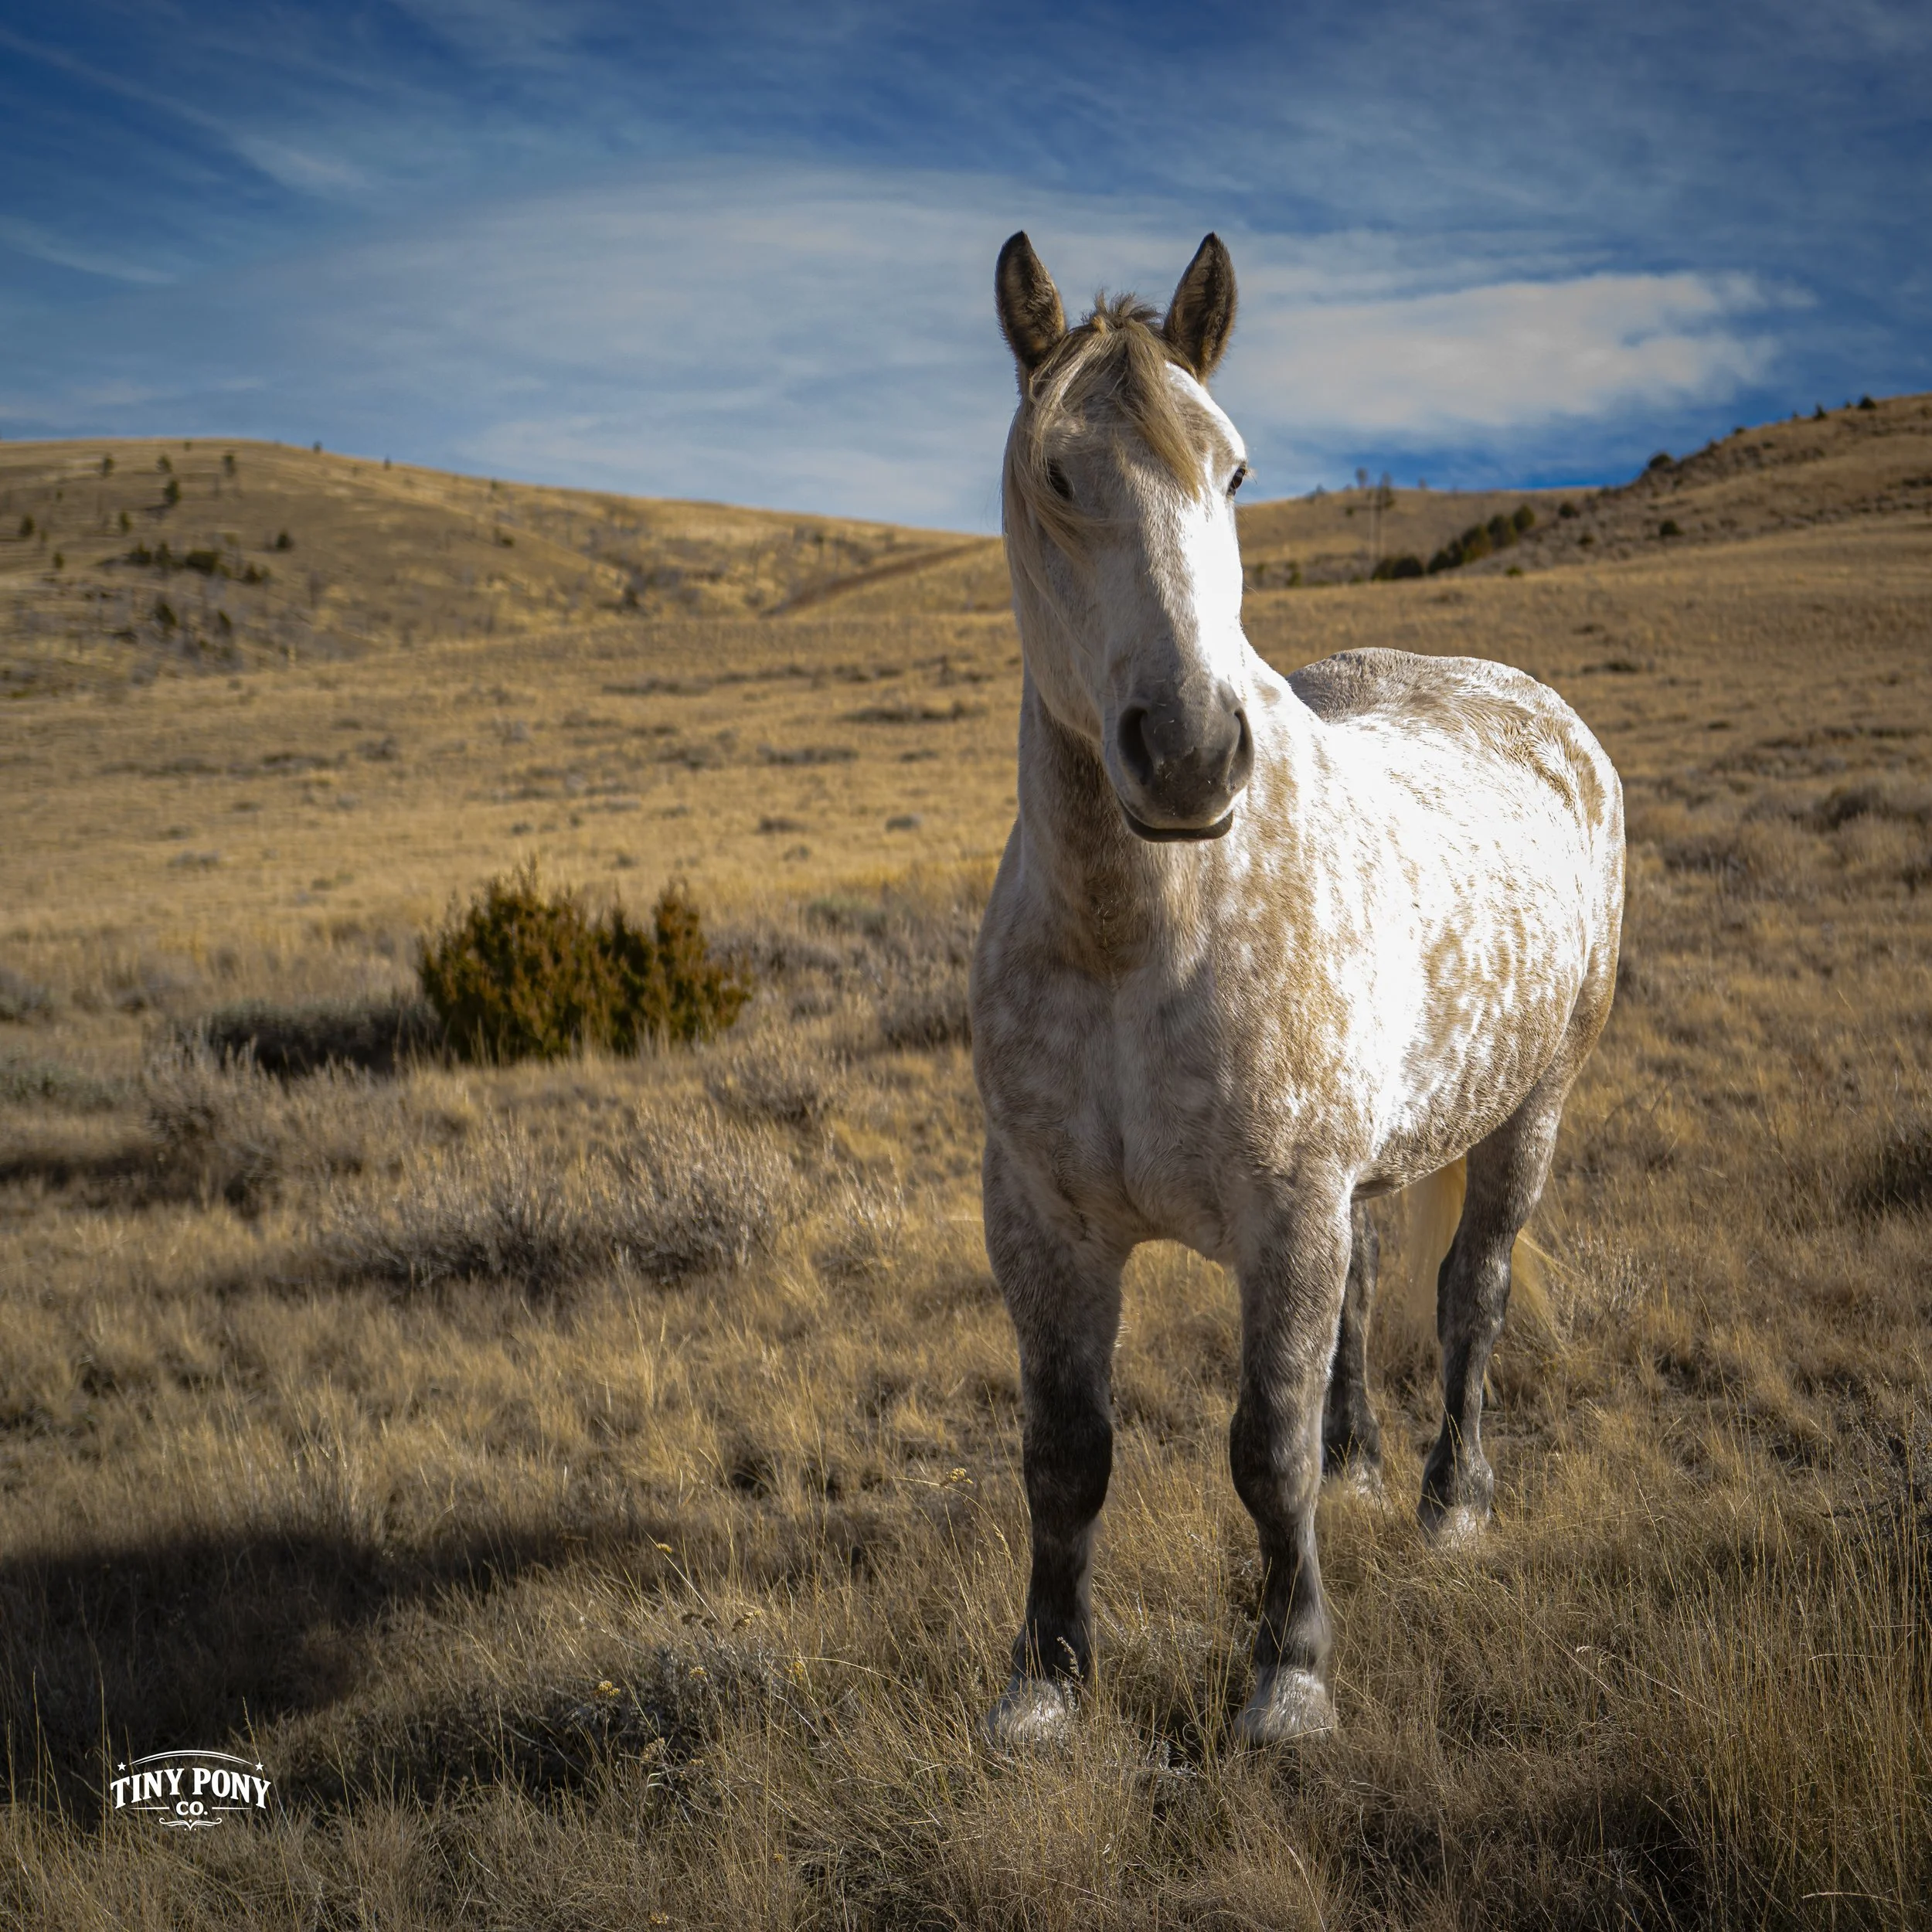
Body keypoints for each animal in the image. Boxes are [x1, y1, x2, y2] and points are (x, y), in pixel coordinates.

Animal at [969, 231, 1625, 1745]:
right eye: (1056, 476)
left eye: (1236, 472)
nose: (1189, 753)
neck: (1137, 934)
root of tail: (1540, 707)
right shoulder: (1043, 1227)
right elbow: (1065, 1456)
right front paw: (1044, 1686)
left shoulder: (1283, 1216)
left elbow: (1261, 1451)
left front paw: (1290, 1677)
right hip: (1362, 1175)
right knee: (1372, 1296)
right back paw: (1367, 1471)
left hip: (1531, 1111)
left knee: (1470, 1292)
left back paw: (1451, 1504)